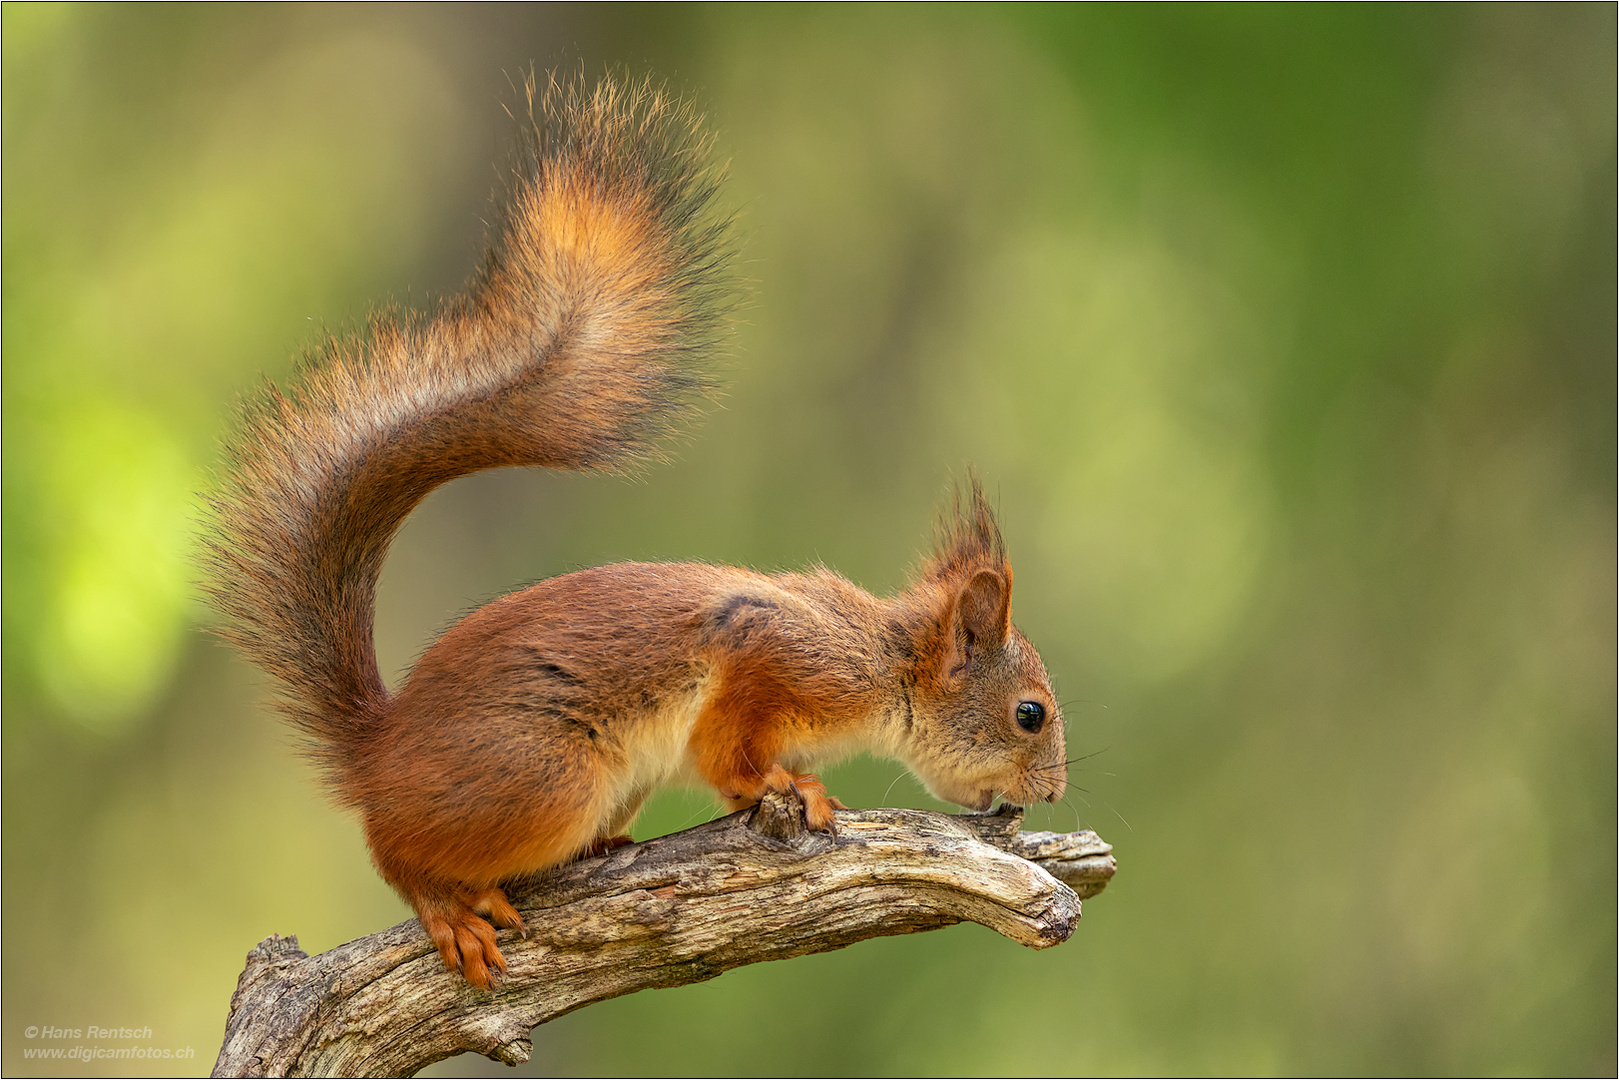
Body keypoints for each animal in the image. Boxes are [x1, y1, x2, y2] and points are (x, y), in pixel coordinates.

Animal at [203, 72, 1067, 990]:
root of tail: (377, 752)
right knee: (394, 848)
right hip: (541, 780)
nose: (1049, 793)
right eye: (1029, 715)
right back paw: (445, 905)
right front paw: (791, 786)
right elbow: (731, 753)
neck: (883, 663)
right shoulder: (771, 660)